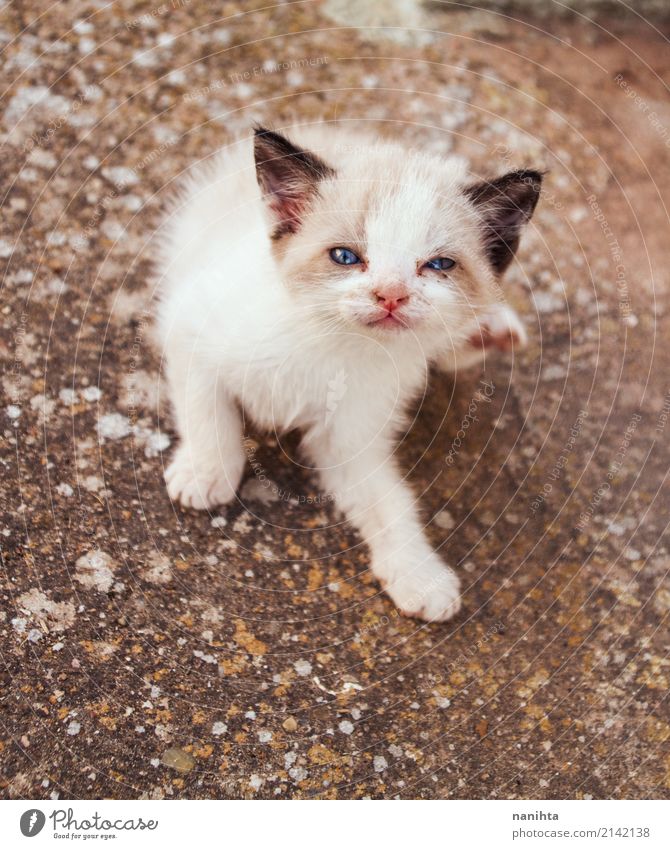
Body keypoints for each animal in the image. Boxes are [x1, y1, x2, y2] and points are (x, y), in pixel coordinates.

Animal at [156, 122, 540, 620]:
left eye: (438, 265)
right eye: (344, 257)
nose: (391, 294)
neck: (335, 342)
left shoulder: (349, 439)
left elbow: (390, 502)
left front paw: (419, 574)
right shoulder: (189, 323)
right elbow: (208, 410)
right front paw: (205, 472)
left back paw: (488, 332)